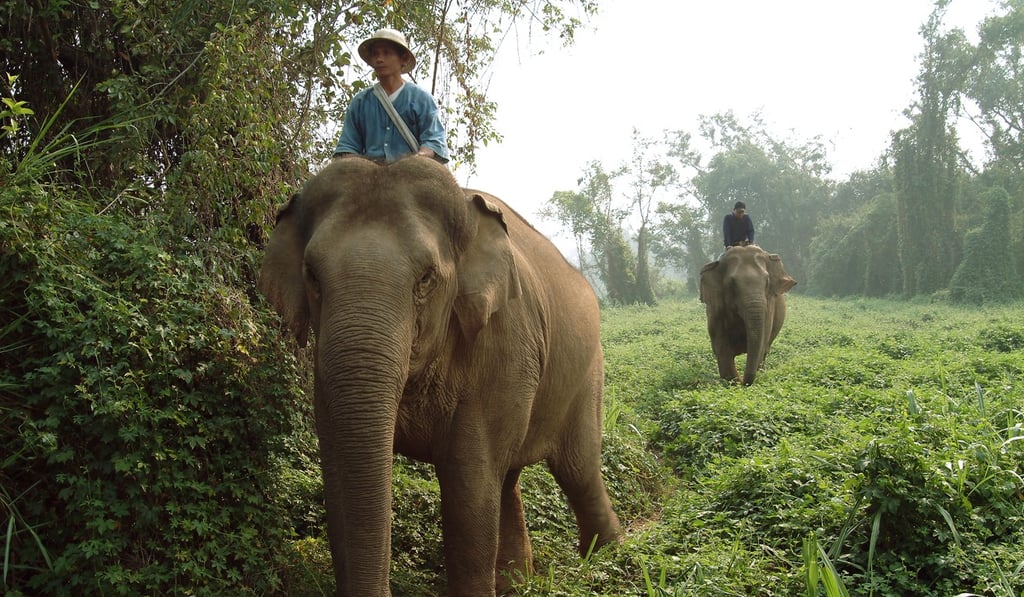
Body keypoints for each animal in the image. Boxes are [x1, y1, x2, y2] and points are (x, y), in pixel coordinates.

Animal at [258, 155, 621, 596]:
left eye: (426, 278)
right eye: (311, 275)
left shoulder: (501, 342)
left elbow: (469, 479)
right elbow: (338, 470)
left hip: (589, 372)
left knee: (578, 469)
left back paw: (611, 557)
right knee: (510, 475)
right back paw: (518, 582)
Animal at [699, 244, 796, 385]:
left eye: (767, 282)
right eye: (732, 284)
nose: (743, 382)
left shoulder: (769, 305)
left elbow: (762, 343)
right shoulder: (716, 309)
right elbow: (721, 347)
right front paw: (734, 383)